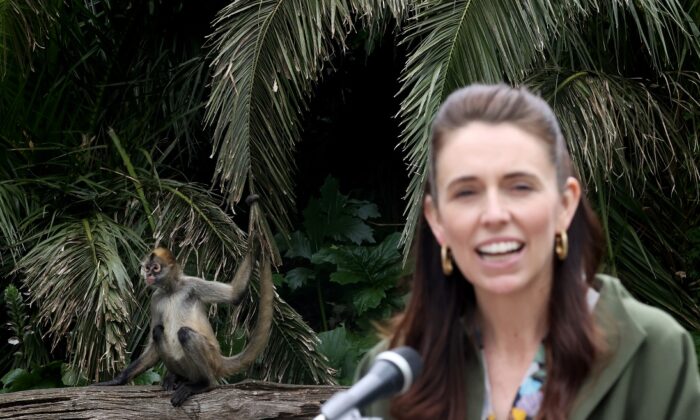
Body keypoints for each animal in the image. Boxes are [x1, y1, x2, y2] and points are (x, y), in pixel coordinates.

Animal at [97, 196, 272, 406]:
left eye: (156, 268)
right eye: (147, 268)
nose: (148, 274)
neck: (171, 290)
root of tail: (219, 360)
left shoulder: (192, 284)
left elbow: (234, 294)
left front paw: (255, 243)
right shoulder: (156, 298)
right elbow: (153, 342)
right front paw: (117, 380)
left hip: (210, 357)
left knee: (185, 334)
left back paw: (203, 384)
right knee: (158, 331)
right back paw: (177, 377)